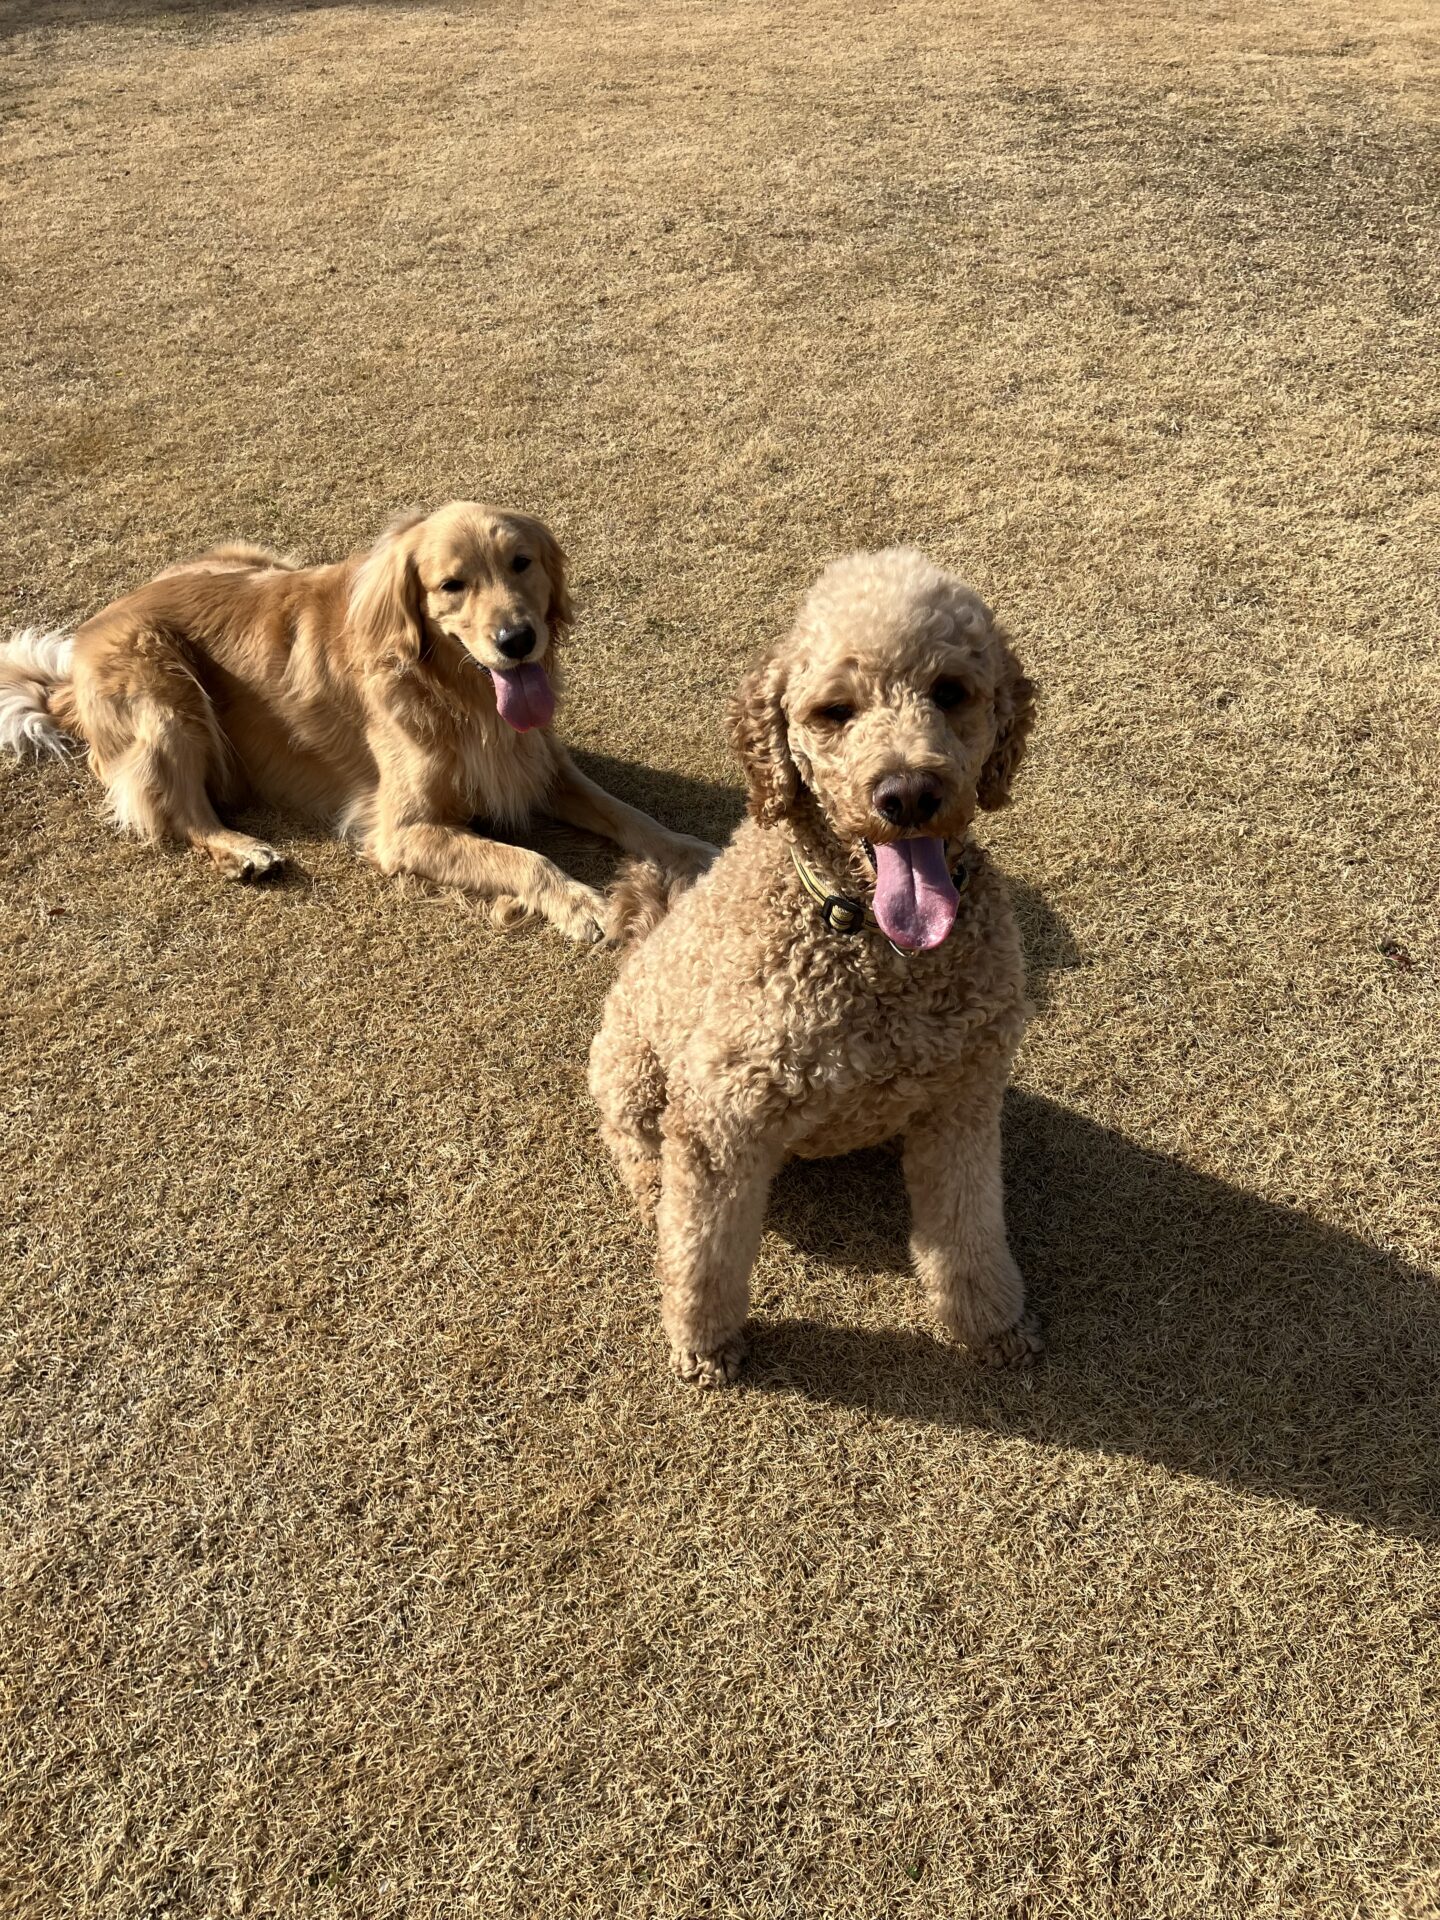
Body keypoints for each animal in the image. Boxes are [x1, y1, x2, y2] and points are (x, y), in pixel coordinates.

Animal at [0, 502, 713, 940]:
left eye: (522, 563)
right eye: (452, 586)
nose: (519, 640)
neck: (457, 695)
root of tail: (71, 670)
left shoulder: (538, 761)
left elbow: (630, 814)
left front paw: (690, 851)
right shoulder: (402, 831)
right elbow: (523, 857)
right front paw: (580, 901)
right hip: (165, 691)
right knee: (178, 811)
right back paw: (244, 850)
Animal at [589, 548, 1039, 1385]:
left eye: (951, 692)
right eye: (835, 711)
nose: (908, 792)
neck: (875, 946)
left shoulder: (964, 1098)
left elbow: (968, 1227)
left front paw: (991, 1325)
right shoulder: (720, 1115)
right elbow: (706, 1251)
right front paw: (703, 1344)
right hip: (631, 1067)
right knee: (634, 1144)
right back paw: (653, 1189)